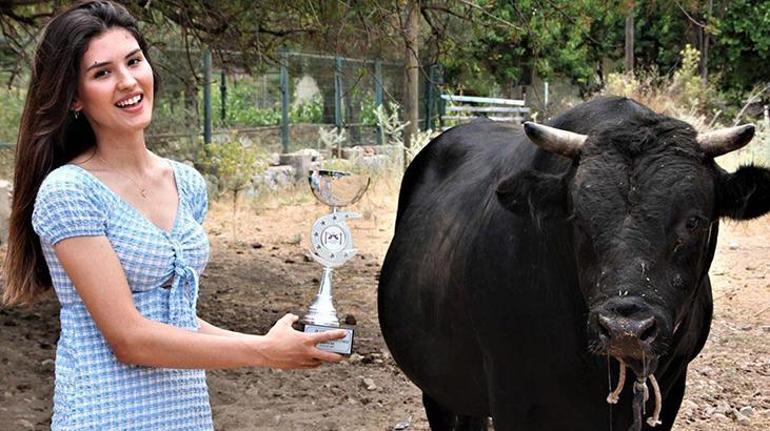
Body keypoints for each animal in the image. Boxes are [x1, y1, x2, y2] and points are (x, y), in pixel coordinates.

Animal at [378, 98, 768, 431]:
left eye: (694, 221)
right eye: (578, 217)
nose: (625, 329)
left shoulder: (671, 392)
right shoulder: (512, 396)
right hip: (439, 386)